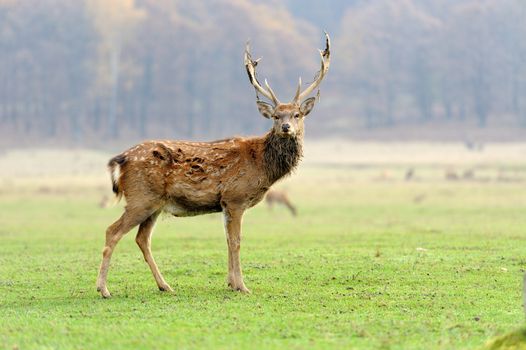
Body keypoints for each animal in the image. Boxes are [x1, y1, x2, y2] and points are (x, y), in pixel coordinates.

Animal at [97, 33, 332, 298]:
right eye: (276, 116)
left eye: (297, 115)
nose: (286, 127)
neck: (262, 166)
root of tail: (121, 159)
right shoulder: (236, 197)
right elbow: (236, 241)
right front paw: (242, 286)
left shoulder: (225, 204)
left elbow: (228, 241)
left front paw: (230, 283)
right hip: (141, 197)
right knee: (112, 231)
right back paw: (104, 289)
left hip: (154, 203)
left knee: (142, 239)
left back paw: (164, 285)